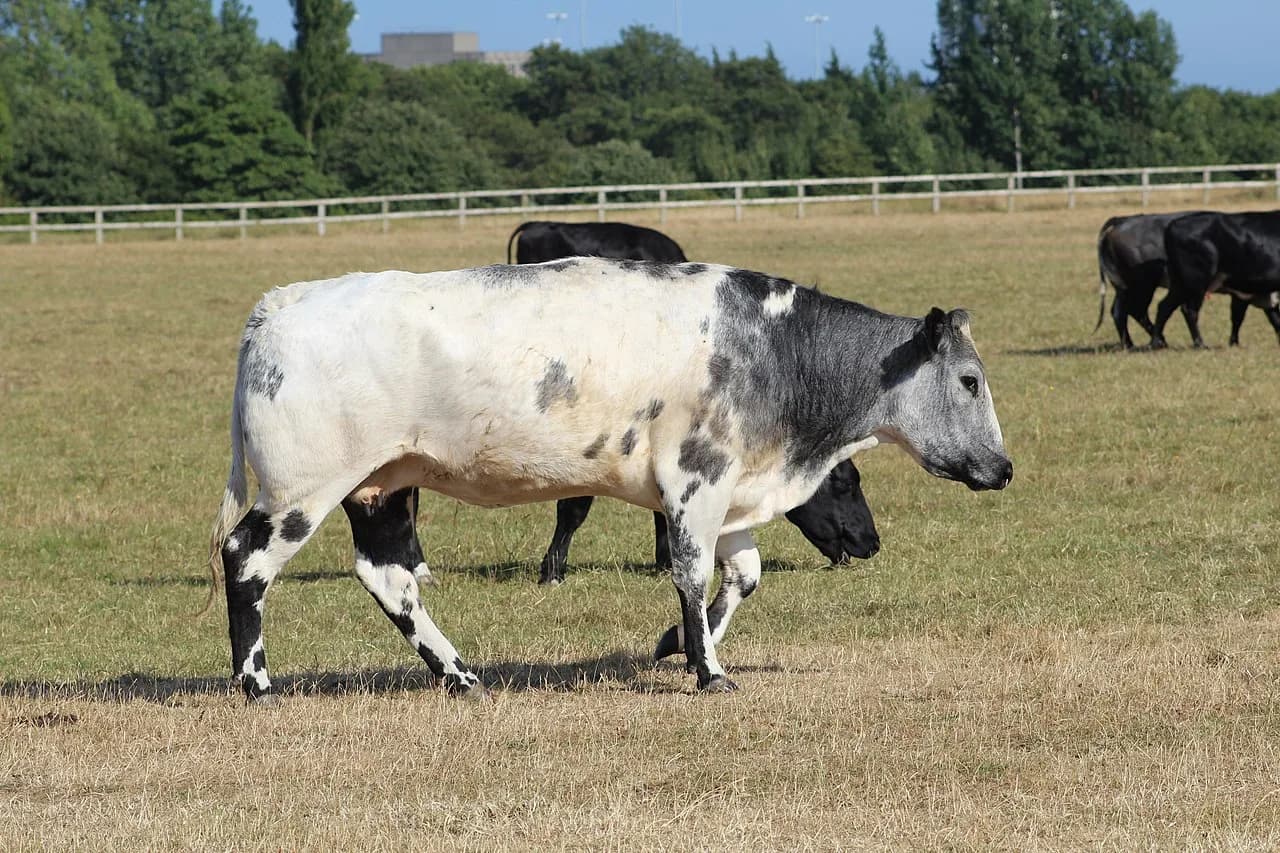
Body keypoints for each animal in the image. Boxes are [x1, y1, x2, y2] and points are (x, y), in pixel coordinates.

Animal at [1154, 210, 1280, 349]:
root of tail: (1172, 225)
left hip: (1180, 283)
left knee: (1165, 306)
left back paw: (1156, 342)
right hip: (1195, 282)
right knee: (1189, 310)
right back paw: (1200, 344)